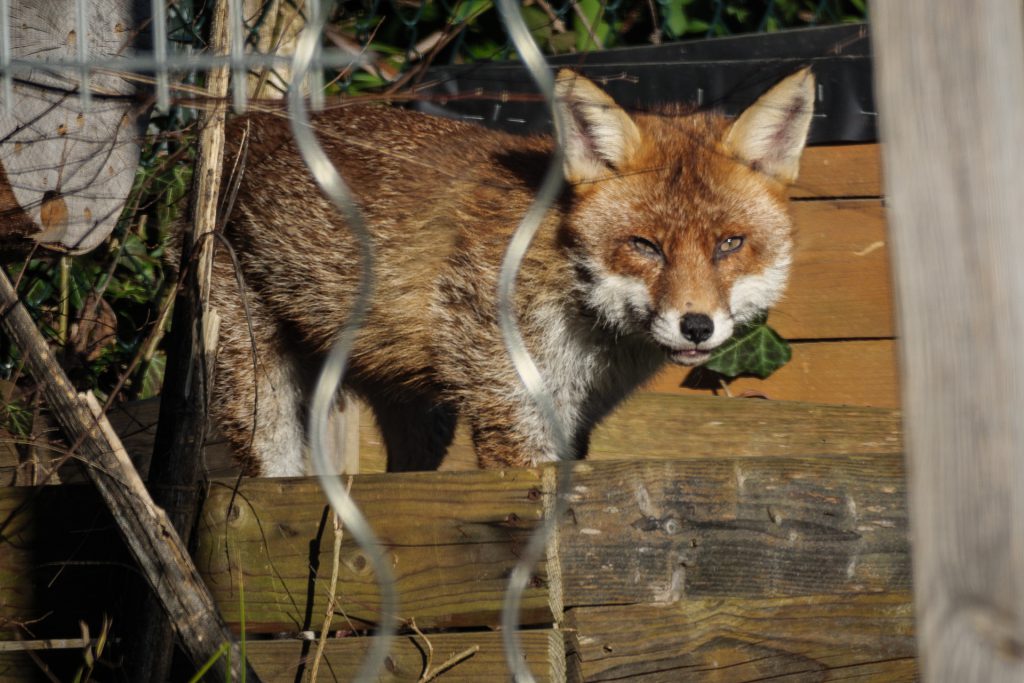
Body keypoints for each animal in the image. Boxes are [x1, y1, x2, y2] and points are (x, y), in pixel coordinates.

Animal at [209, 68, 815, 475]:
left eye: (730, 244)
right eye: (645, 246)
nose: (696, 326)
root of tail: (244, 120)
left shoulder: (574, 414)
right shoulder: (509, 400)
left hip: (420, 411)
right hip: (257, 391)